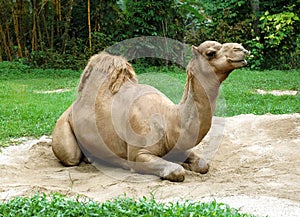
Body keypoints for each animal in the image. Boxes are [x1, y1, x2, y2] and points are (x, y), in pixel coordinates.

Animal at [52, 40, 248, 181]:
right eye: (210, 53)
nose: (241, 49)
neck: (170, 121)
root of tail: (72, 106)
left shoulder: (182, 148)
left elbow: (203, 165)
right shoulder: (139, 154)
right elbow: (176, 171)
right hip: (64, 131)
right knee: (71, 156)